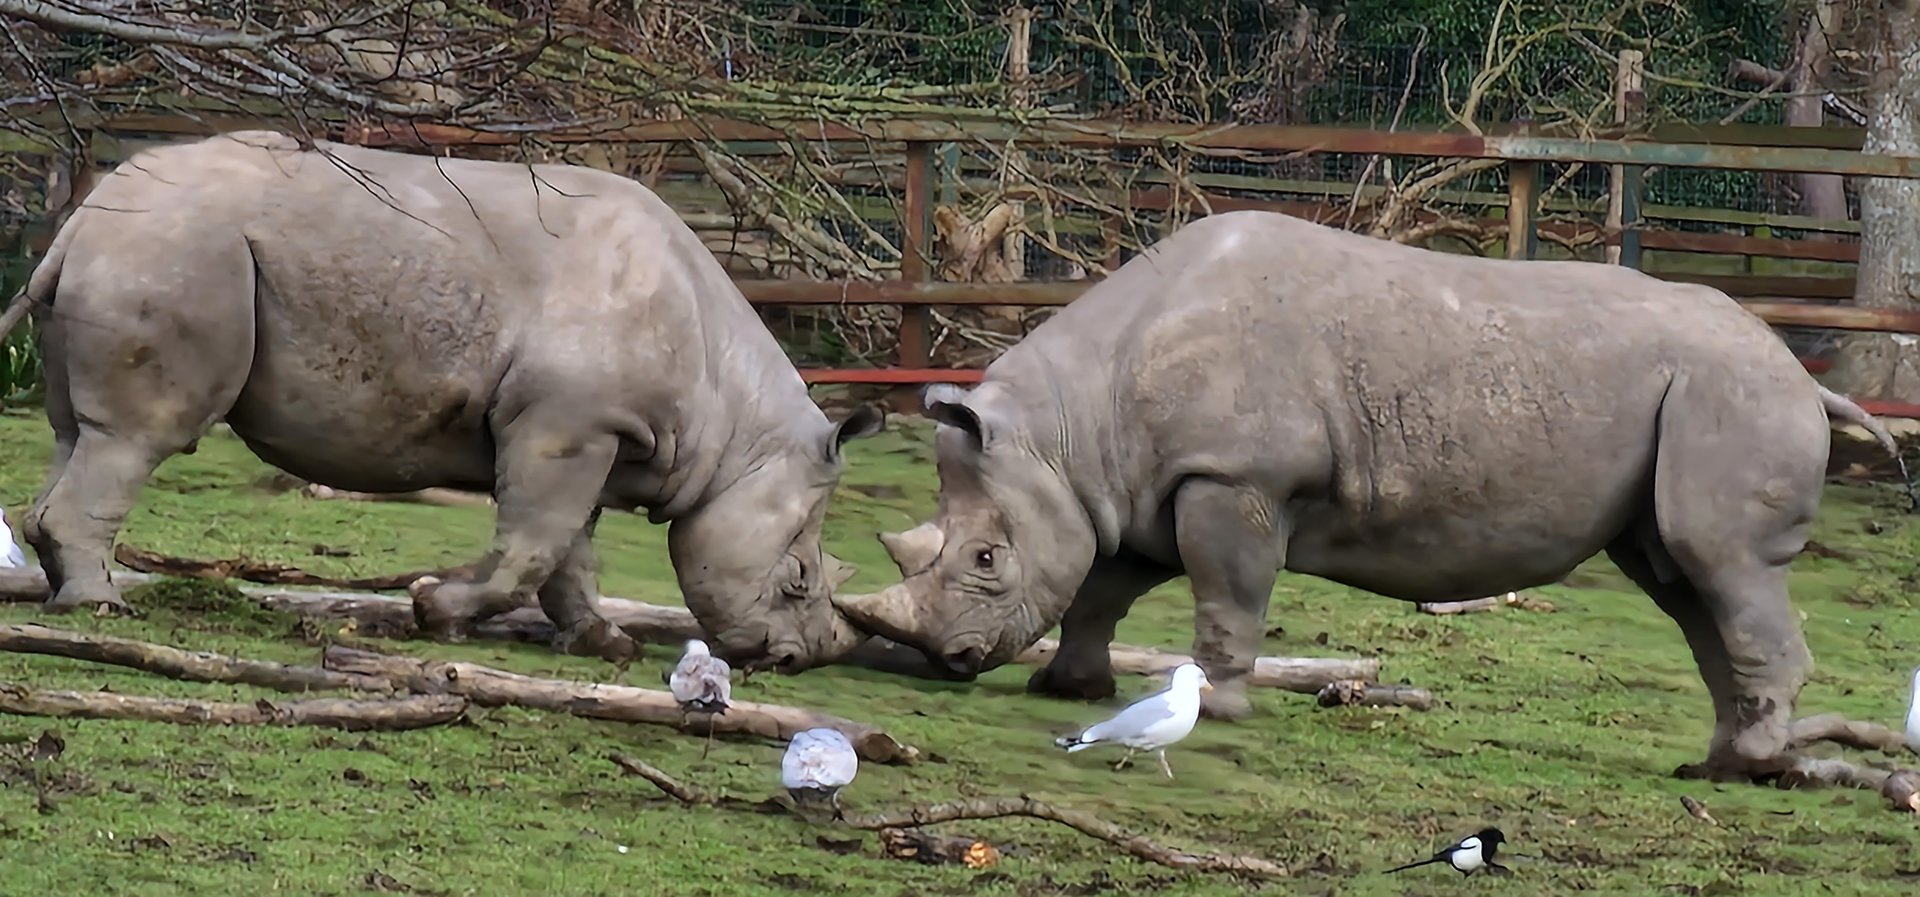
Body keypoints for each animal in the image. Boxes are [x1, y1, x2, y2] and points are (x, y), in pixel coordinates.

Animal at [4, 130, 884, 672]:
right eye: (800, 573)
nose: (800, 656)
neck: (738, 428)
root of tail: (80, 217)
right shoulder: (567, 420)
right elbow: (534, 543)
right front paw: (437, 611)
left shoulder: (594, 428)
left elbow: (569, 551)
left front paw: (605, 645)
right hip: (177, 247)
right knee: (137, 436)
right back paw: (101, 607)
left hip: (136, 246)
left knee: (75, 431)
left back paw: (62, 586)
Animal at [833, 209, 1902, 781]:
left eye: (985, 558)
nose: (940, 664)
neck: (1064, 430)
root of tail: (1801, 371)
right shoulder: (1130, 485)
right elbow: (1103, 586)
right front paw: (1073, 689)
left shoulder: (1236, 476)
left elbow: (1226, 596)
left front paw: (1221, 708)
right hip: (1705, 397)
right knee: (1682, 579)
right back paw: (1719, 764)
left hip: (1736, 392)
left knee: (1721, 563)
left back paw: (1748, 764)